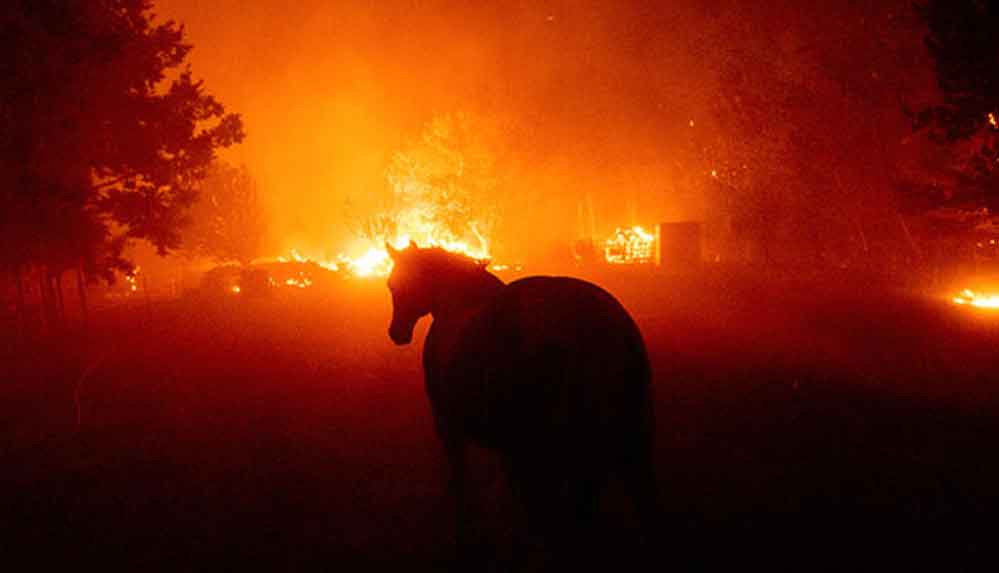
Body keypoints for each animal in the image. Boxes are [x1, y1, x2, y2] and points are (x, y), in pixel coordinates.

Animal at [386, 240, 660, 564]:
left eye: (395, 284)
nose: (396, 333)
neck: (458, 299)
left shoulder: (449, 425)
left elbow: (461, 481)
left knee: (565, 516)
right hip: (629, 442)